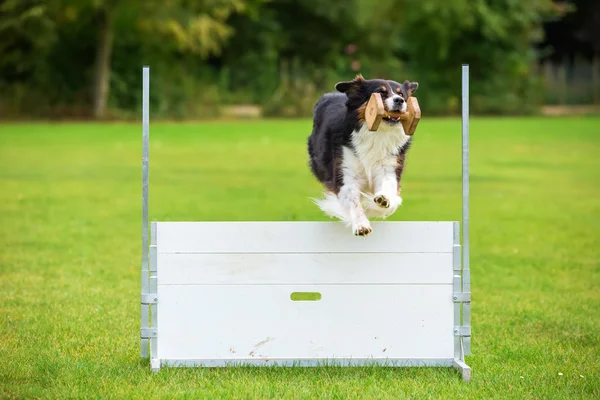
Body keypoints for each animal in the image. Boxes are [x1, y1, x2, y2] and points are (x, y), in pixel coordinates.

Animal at [310, 74, 418, 236]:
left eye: (402, 95)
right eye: (380, 92)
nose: (400, 101)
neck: (377, 134)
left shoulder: (389, 166)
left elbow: (389, 192)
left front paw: (381, 201)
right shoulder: (346, 171)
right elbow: (353, 201)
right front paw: (361, 225)